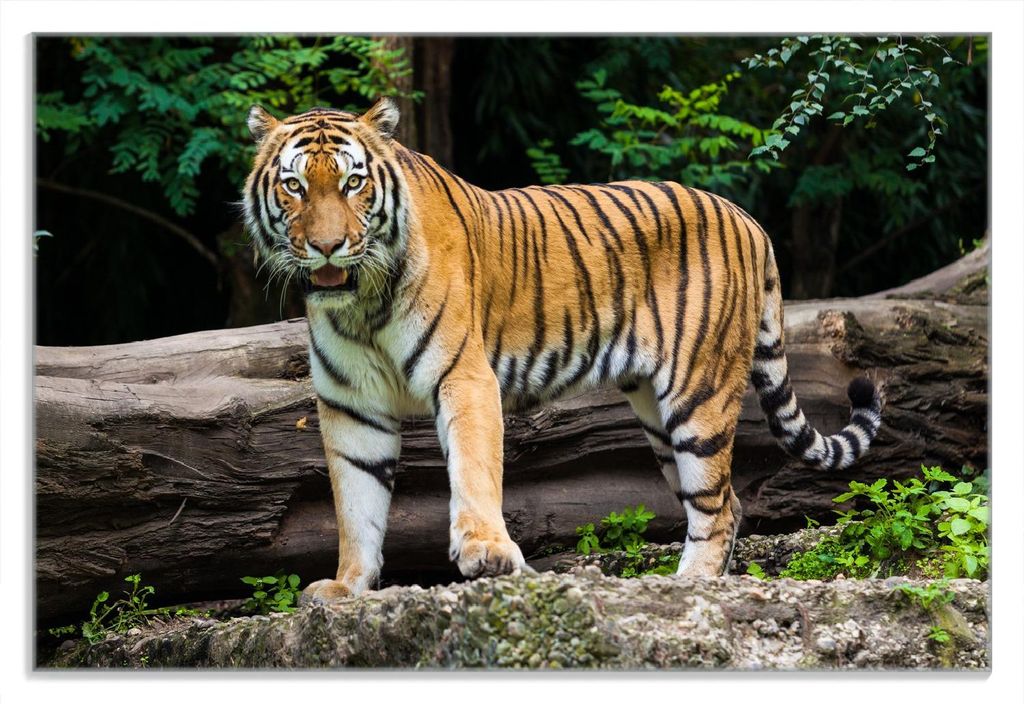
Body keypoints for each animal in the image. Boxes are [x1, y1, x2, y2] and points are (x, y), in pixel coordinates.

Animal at [242, 98, 882, 603]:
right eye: (295, 185)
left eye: (353, 182)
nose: (328, 246)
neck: (362, 304)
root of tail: (749, 220)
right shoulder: (350, 405)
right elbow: (356, 502)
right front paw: (347, 586)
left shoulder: (464, 376)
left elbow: (473, 469)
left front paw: (486, 553)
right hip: (657, 414)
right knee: (726, 503)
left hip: (699, 394)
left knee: (718, 507)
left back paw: (688, 588)